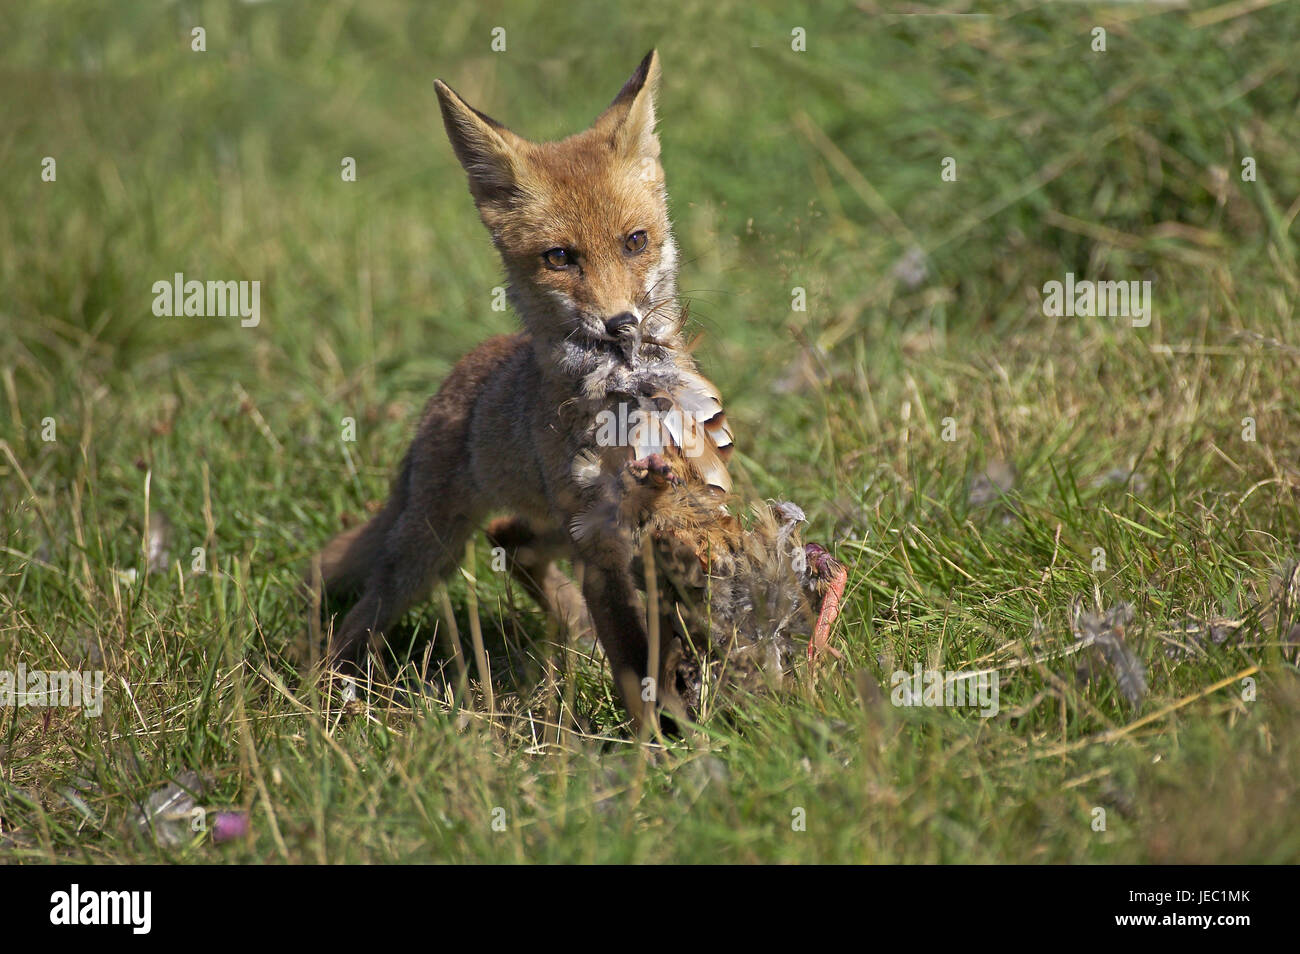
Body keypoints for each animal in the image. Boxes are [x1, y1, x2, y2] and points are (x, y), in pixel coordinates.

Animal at [317, 52, 733, 722]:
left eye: (635, 241)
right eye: (560, 257)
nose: (622, 325)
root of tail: (462, 373)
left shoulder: (666, 513)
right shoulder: (601, 543)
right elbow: (634, 664)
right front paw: (661, 735)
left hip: (547, 529)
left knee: (511, 541)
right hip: (428, 555)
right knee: (363, 613)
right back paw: (324, 693)